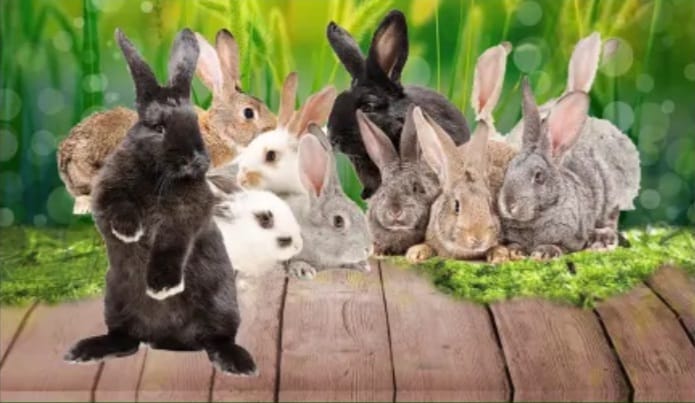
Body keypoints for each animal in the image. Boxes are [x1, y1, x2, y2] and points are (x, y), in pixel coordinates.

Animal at [64, 28, 256, 376]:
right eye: (158, 127)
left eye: (192, 124)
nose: (196, 160)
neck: (158, 175)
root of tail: (168, 340)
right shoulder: (107, 191)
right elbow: (117, 205)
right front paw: (129, 231)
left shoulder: (187, 214)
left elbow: (171, 242)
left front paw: (161, 286)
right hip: (116, 302)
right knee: (125, 340)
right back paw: (84, 350)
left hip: (222, 304)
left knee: (217, 339)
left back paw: (238, 363)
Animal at [497, 78, 640, 260]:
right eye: (508, 169)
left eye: (539, 176)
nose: (509, 205)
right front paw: (515, 251)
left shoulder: (573, 239)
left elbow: (561, 246)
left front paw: (545, 252)